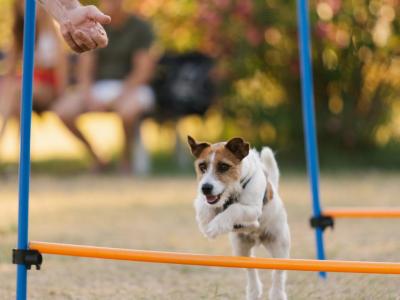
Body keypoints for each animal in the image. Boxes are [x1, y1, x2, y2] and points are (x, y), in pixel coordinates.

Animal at [188, 137, 290, 300]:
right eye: (202, 166)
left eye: (224, 166)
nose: (205, 188)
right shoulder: (205, 200)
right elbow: (203, 206)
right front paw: (205, 222)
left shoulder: (253, 210)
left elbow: (234, 208)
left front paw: (214, 226)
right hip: (241, 248)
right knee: (251, 267)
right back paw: (254, 291)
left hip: (279, 245)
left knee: (278, 273)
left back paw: (277, 294)